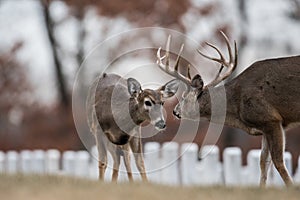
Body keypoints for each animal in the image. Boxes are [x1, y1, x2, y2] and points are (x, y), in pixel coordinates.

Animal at [157, 32, 300, 187]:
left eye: (184, 97)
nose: (174, 111)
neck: (236, 107)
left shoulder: (271, 119)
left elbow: (278, 162)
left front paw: (291, 188)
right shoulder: (267, 126)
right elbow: (263, 163)